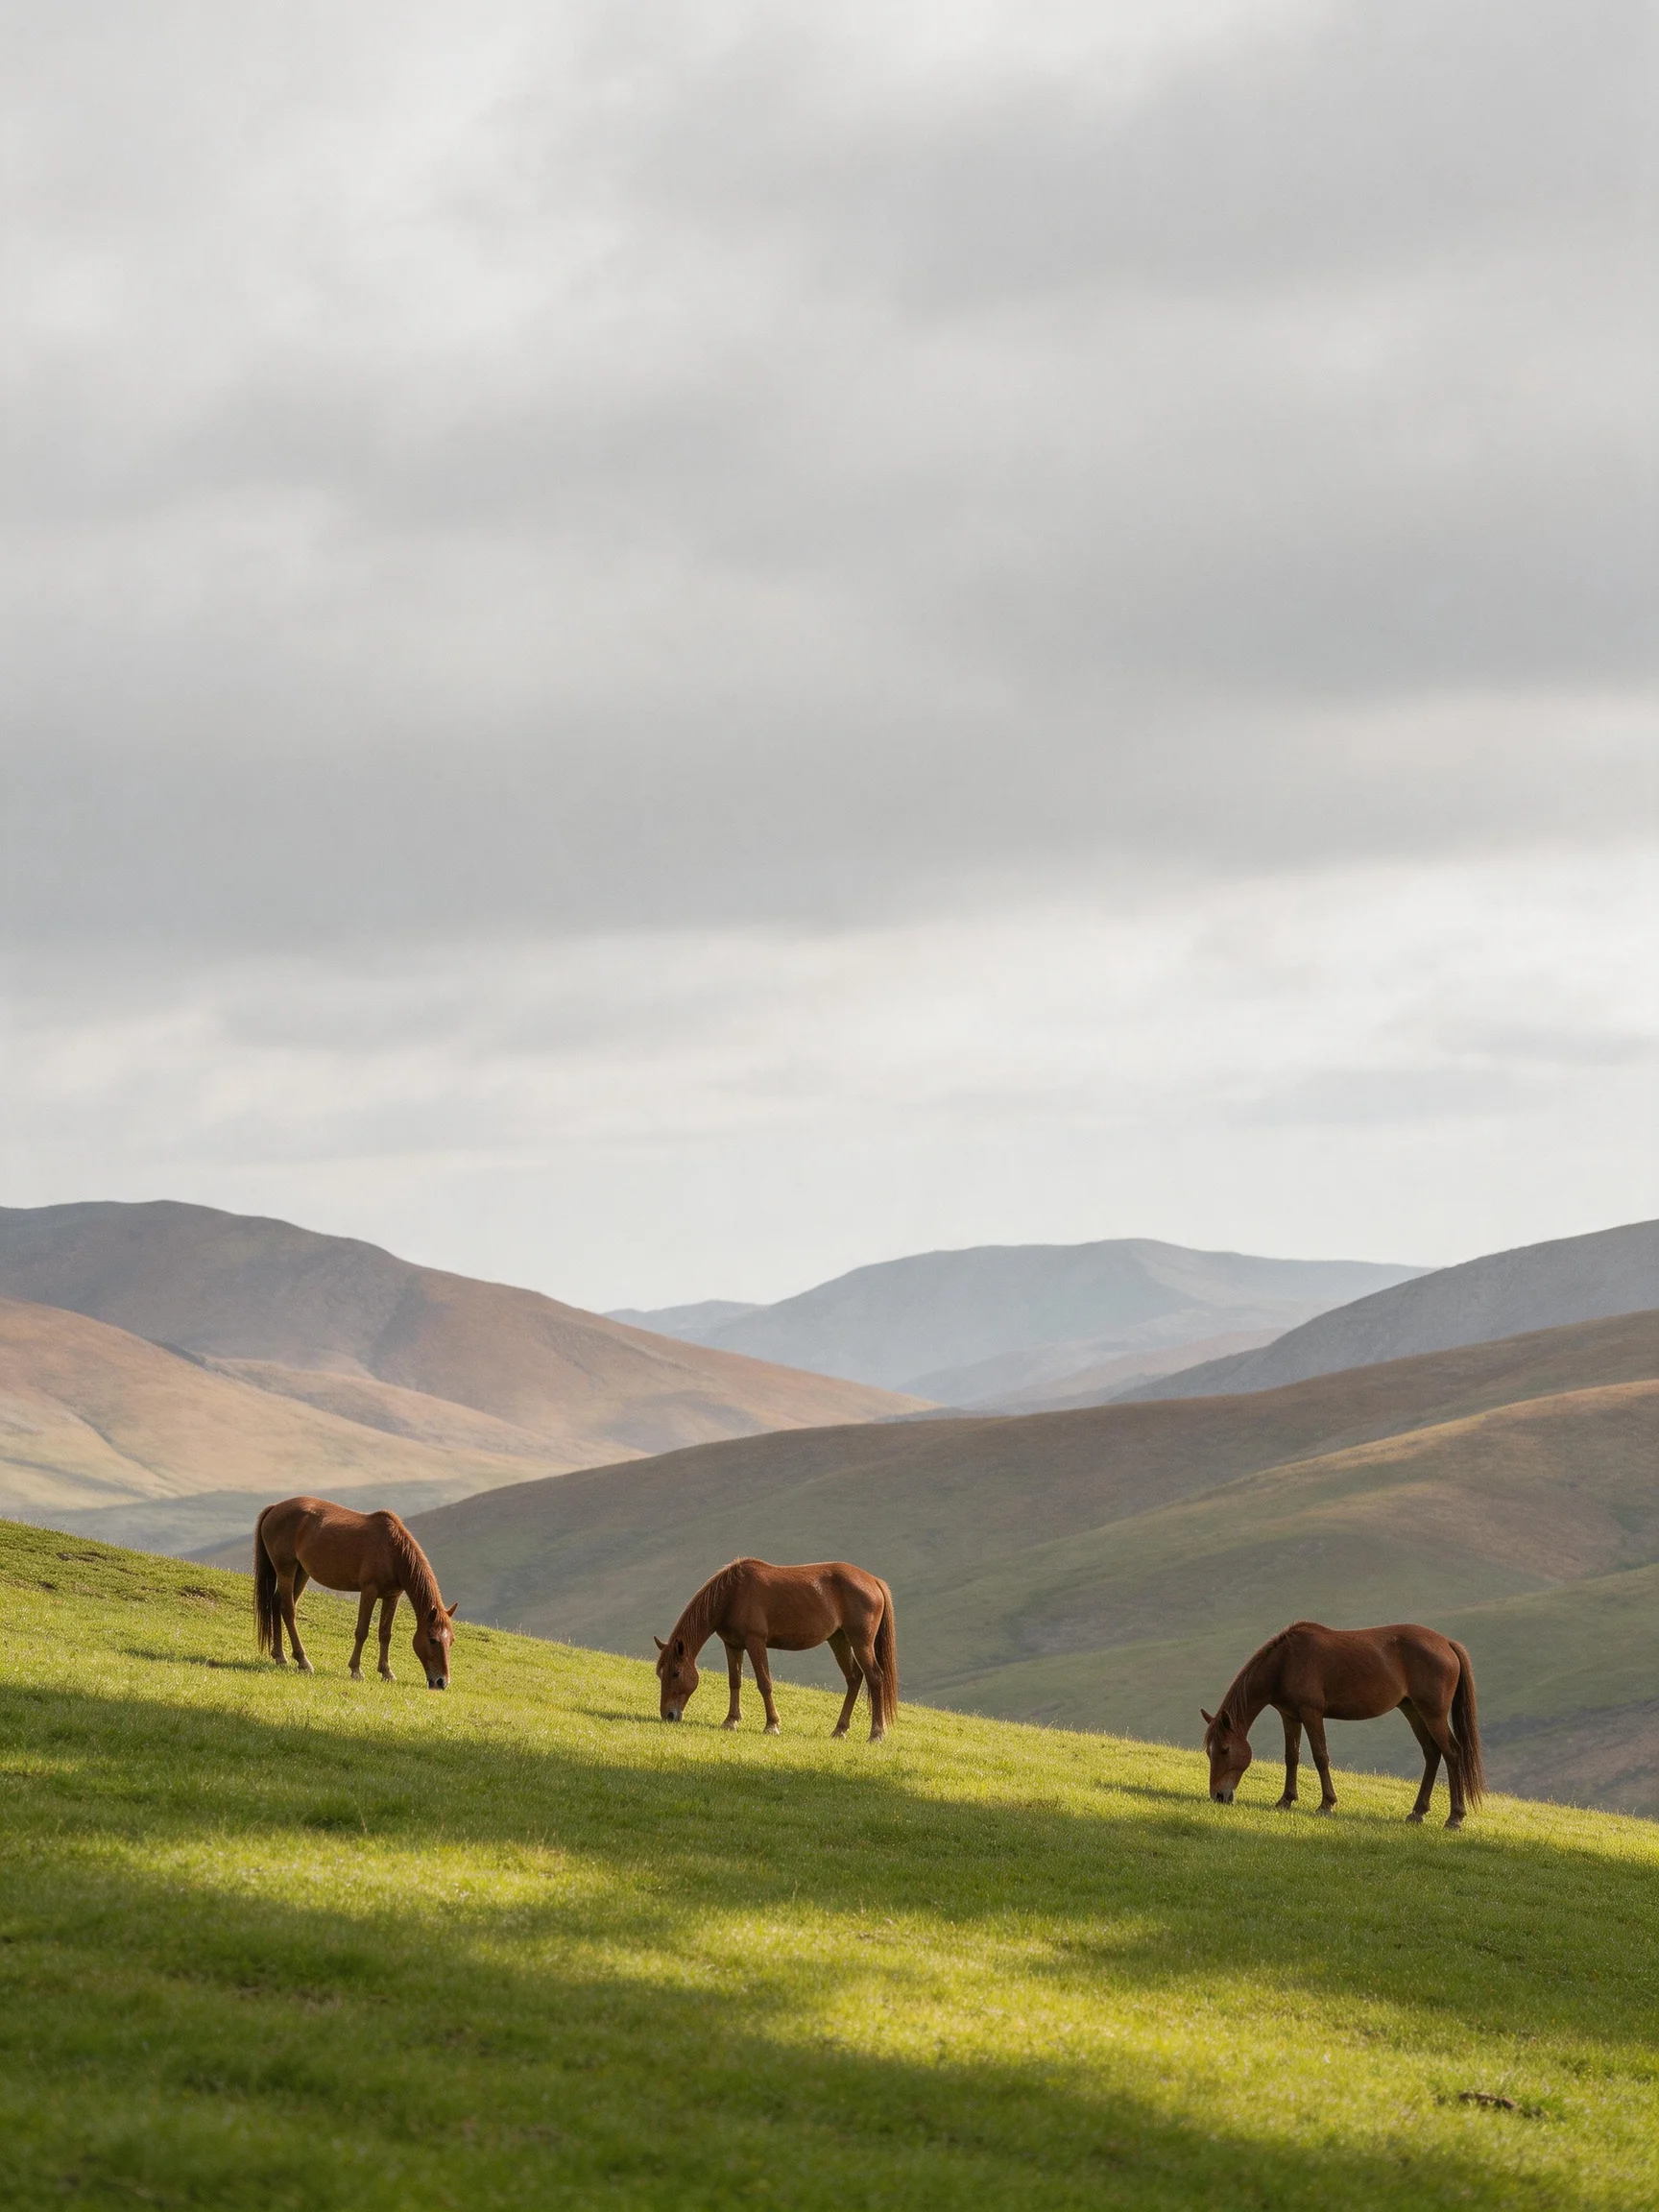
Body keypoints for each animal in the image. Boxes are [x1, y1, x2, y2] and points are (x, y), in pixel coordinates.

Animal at [255, 1496, 458, 1689]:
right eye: (432, 1639)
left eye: (451, 1641)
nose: (442, 1682)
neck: (392, 1551)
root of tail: (275, 1508)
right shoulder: (369, 1591)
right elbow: (362, 1631)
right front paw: (356, 1670)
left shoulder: (392, 1597)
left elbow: (385, 1634)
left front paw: (386, 1672)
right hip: (286, 1570)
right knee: (288, 1610)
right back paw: (303, 1660)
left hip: (301, 1572)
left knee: (277, 1604)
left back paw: (280, 1656)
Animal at [654, 1558, 897, 1740]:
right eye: (660, 1673)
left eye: (676, 1673)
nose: (668, 1715)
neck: (733, 1594)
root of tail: (873, 1581)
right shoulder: (733, 1645)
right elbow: (734, 1682)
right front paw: (730, 1721)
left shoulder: (755, 1642)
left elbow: (765, 1683)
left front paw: (772, 1725)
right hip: (839, 1640)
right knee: (854, 1679)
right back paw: (839, 1730)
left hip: (860, 1642)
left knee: (875, 1678)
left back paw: (876, 1734)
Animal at [1201, 1619, 1484, 1827]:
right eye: (1209, 1752)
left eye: (1225, 1749)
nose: (1218, 1796)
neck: (1286, 1661)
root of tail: (1446, 1643)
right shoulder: (1290, 1716)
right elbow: (1291, 1757)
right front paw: (1286, 1800)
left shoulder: (1311, 1713)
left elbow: (1320, 1757)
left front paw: (1326, 1804)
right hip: (1413, 1711)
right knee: (1432, 1754)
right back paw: (1418, 1812)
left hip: (1432, 1714)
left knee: (1452, 1753)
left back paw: (1455, 1818)